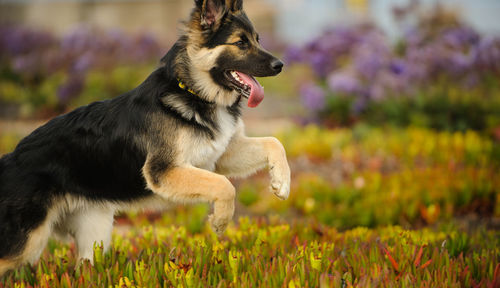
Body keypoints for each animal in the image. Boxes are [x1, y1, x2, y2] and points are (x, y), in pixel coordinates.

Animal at [0, 0, 290, 276]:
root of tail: (10, 159)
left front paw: (281, 183)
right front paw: (220, 221)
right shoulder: (164, 171)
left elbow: (274, 143)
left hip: (94, 234)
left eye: (257, 39)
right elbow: (225, 185)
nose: (280, 66)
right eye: (240, 43)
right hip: (27, 244)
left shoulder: (223, 154)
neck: (192, 91)